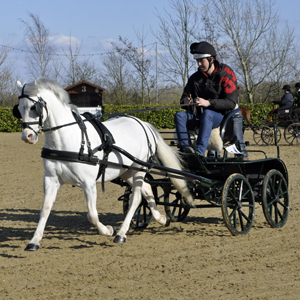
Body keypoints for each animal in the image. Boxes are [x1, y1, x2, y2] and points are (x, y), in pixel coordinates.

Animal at [15, 77, 195, 251]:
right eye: (19, 109)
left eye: (34, 107)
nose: (27, 136)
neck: (69, 139)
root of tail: (144, 124)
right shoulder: (51, 179)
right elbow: (44, 210)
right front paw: (34, 241)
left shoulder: (88, 183)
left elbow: (92, 215)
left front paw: (108, 230)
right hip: (127, 172)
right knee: (147, 190)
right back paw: (161, 219)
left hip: (139, 170)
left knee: (136, 198)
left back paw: (121, 233)